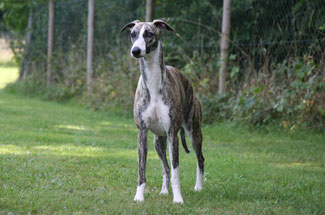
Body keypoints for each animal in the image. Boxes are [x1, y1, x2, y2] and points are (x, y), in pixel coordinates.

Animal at [120, 19, 204, 203]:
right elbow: (142, 169)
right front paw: (139, 196)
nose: (135, 51)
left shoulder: (173, 133)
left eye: (149, 34)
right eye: (133, 34)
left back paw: (199, 187)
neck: (153, 83)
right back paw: (164, 191)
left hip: (193, 132)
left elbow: (176, 170)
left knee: (200, 159)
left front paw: (178, 198)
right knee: (165, 166)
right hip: (158, 141)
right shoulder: (142, 132)